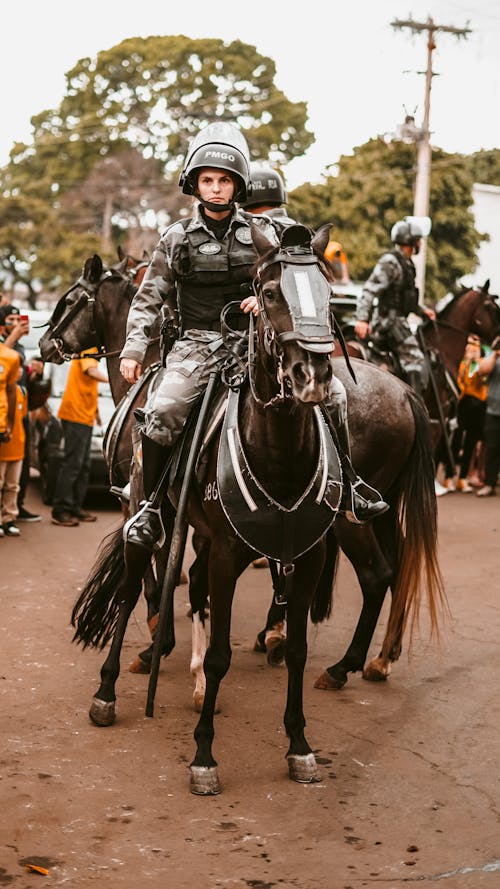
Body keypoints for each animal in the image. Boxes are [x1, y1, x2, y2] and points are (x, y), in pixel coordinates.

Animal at [64, 225, 444, 796]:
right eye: (268, 293)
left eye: (327, 295)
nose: (311, 375)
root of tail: (405, 392)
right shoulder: (208, 539)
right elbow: (197, 605)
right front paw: (199, 712)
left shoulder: (296, 552)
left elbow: (207, 606)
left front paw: (291, 743)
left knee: (379, 573)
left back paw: (348, 663)